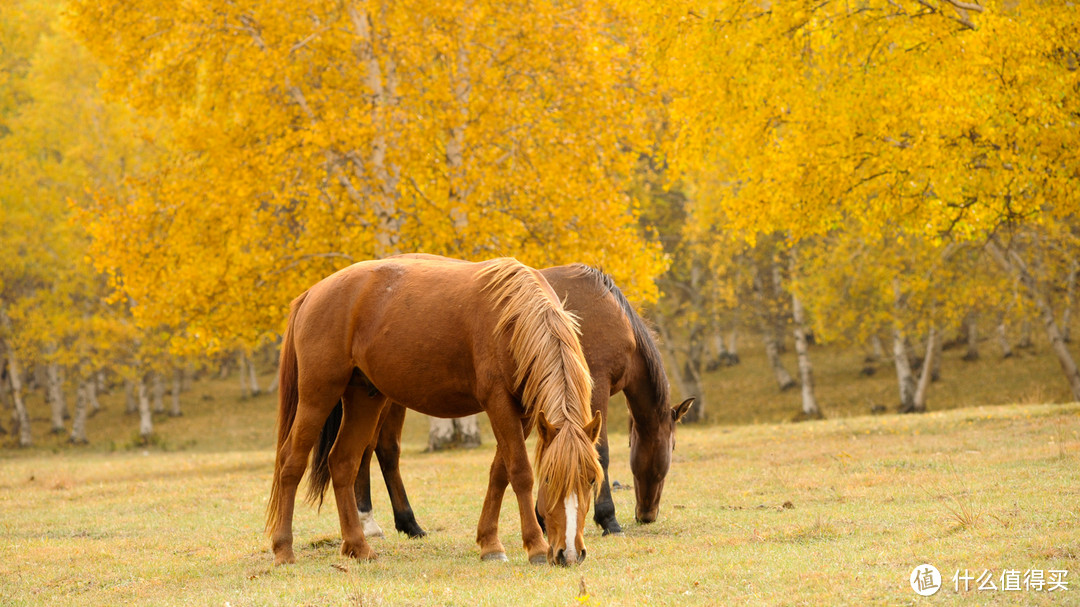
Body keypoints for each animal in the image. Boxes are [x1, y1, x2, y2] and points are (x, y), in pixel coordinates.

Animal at [260, 254, 600, 561]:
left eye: (591, 480)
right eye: (549, 480)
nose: (569, 553)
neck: (513, 317)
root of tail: (312, 293)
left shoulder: (526, 414)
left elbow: (499, 472)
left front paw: (489, 542)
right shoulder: (499, 404)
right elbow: (519, 472)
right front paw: (536, 546)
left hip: (364, 399)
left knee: (343, 463)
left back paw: (358, 546)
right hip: (318, 396)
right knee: (291, 463)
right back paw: (284, 549)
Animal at [311, 260, 699, 537]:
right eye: (672, 447)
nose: (647, 515)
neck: (611, 314)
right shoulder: (596, 388)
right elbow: (599, 452)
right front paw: (607, 519)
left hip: (380, 395)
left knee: (372, 451)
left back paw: (385, 523)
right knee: (378, 450)